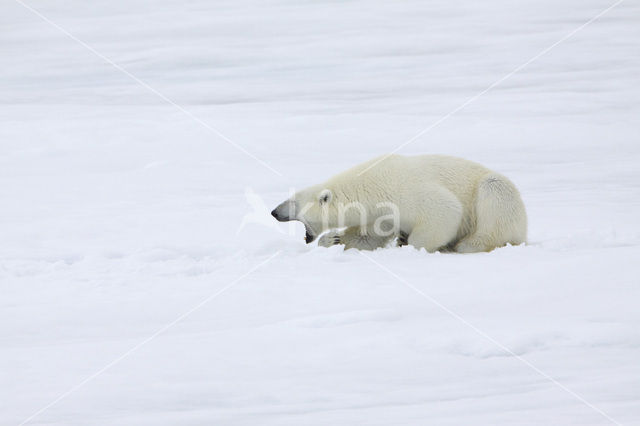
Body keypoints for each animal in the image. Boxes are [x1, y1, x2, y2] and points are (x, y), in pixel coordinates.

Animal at [270, 154, 524, 251]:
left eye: (293, 202)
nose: (274, 212)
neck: (373, 187)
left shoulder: (406, 192)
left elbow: (445, 210)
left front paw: (411, 245)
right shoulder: (381, 214)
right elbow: (367, 236)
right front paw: (334, 239)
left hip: (497, 194)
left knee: (493, 194)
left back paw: (467, 244)